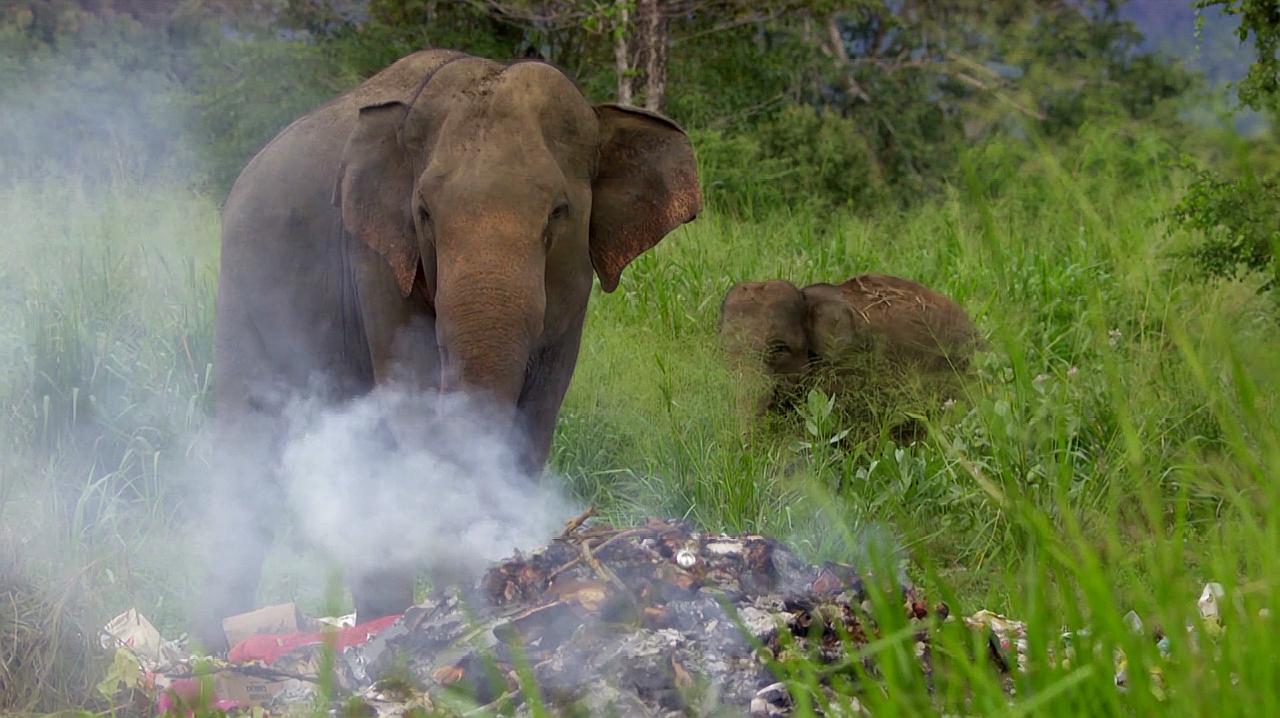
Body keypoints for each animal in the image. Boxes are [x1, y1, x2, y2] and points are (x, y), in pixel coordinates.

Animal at [199, 50, 701, 650]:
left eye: (559, 211)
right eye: (424, 213)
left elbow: (537, 417)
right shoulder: (377, 260)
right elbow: (411, 402)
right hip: (244, 287)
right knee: (251, 445)